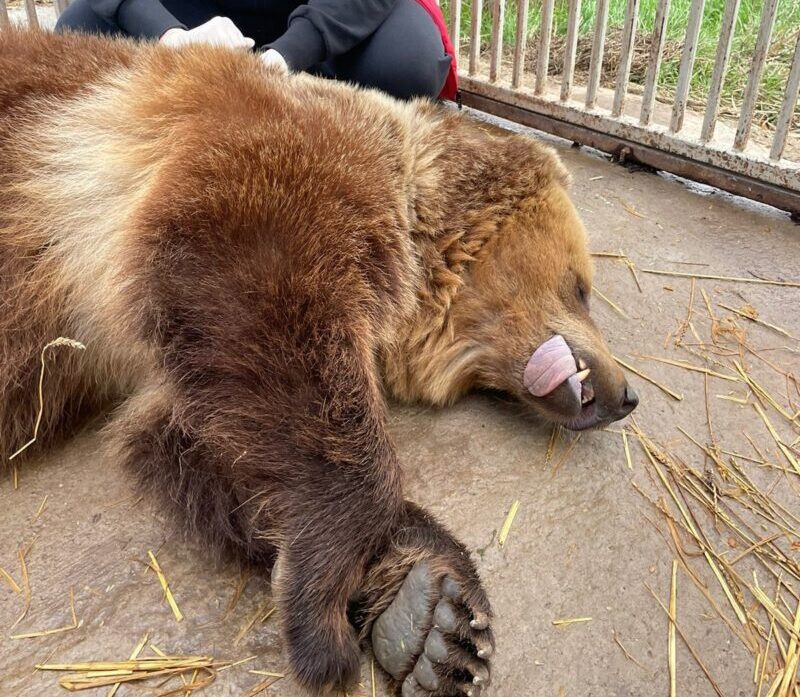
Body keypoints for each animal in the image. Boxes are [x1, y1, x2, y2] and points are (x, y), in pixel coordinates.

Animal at [0, 28, 636, 696]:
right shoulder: (260, 172)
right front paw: (325, 618)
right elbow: (267, 314)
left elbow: (204, 434)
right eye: (582, 288)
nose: (628, 396)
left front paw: (435, 616)